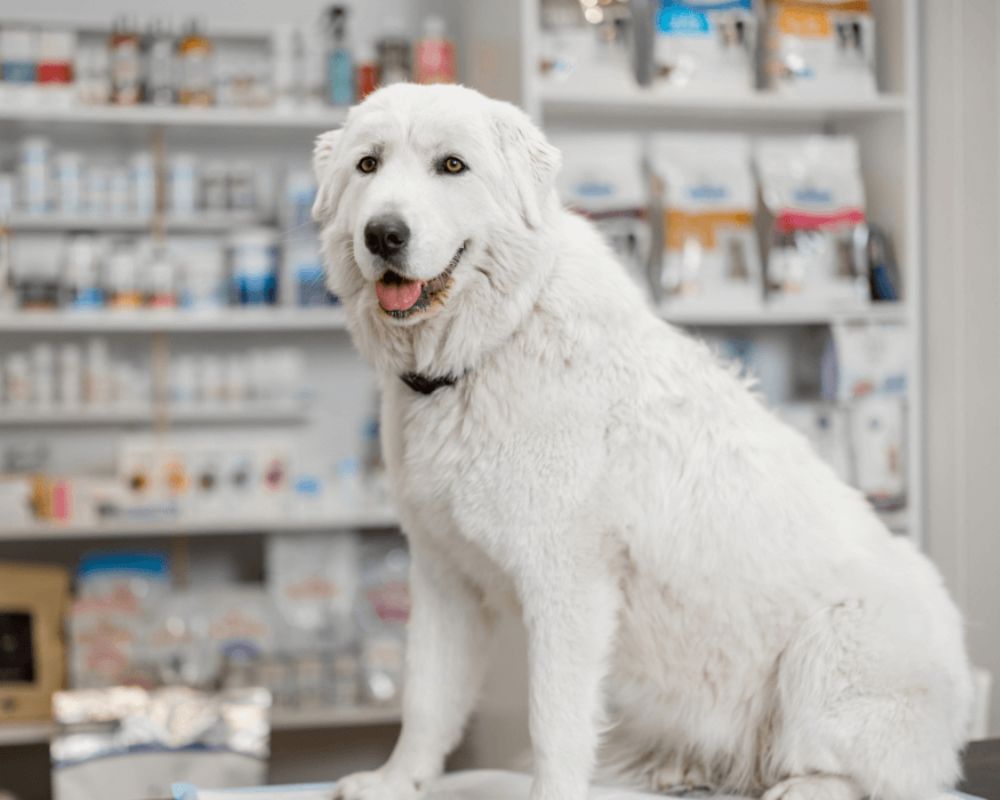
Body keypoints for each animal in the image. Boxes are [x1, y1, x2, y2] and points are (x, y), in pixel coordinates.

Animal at [316, 84, 972, 800]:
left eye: (452, 166)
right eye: (369, 165)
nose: (384, 234)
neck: (492, 345)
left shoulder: (567, 585)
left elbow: (553, 722)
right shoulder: (443, 578)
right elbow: (427, 698)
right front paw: (396, 779)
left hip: (829, 649)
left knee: (873, 776)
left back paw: (801, 786)